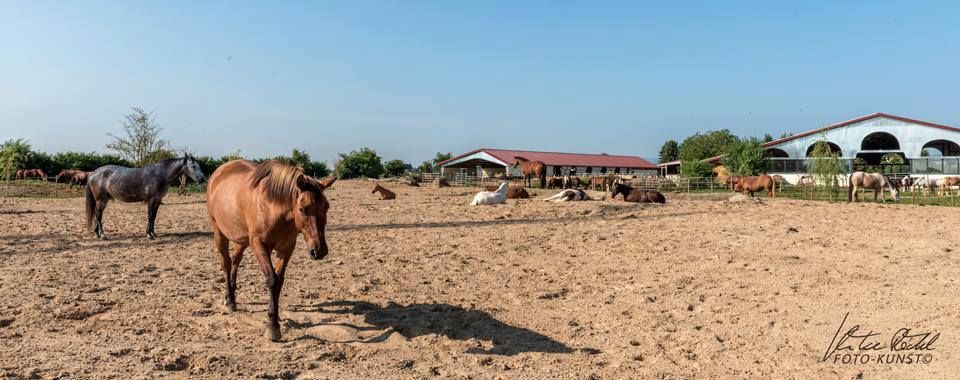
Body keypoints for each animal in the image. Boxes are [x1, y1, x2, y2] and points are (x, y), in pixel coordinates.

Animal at [205, 160, 334, 342]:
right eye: (303, 209)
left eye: (327, 207)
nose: (319, 250)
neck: (272, 206)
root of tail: (218, 173)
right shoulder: (259, 245)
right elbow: (272, 279)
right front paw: (272, 327)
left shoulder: (287, 248)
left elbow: (279, 281)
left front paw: (275, 317)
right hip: (218, 231)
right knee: (226, 263)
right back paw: (229, 300)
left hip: (242, 238)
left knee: (236, 260)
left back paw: (233, 296)